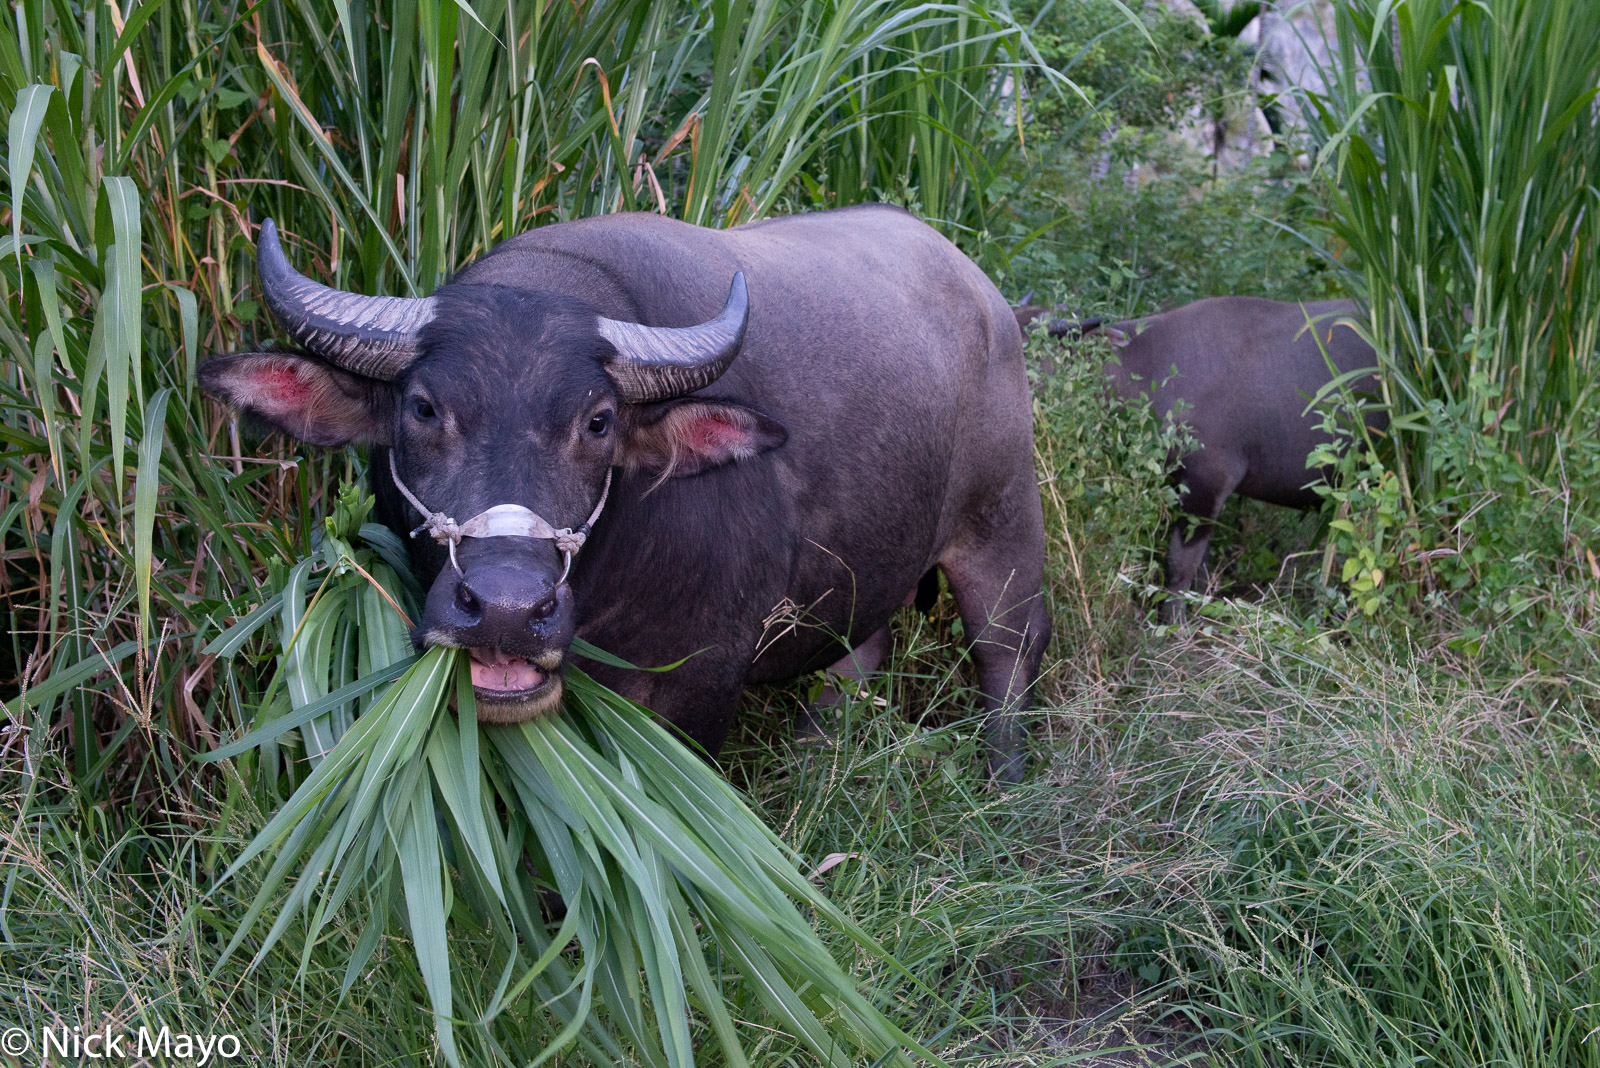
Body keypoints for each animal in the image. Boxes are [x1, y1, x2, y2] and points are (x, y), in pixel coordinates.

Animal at [203, 204, 1049, 780]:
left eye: (599, 421)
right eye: (422, 408)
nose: (507, 608)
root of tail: (989, 300)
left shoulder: (706, 677)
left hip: (1004, 525)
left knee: (1008, 655)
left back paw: (1003, 781)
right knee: (861, 649)